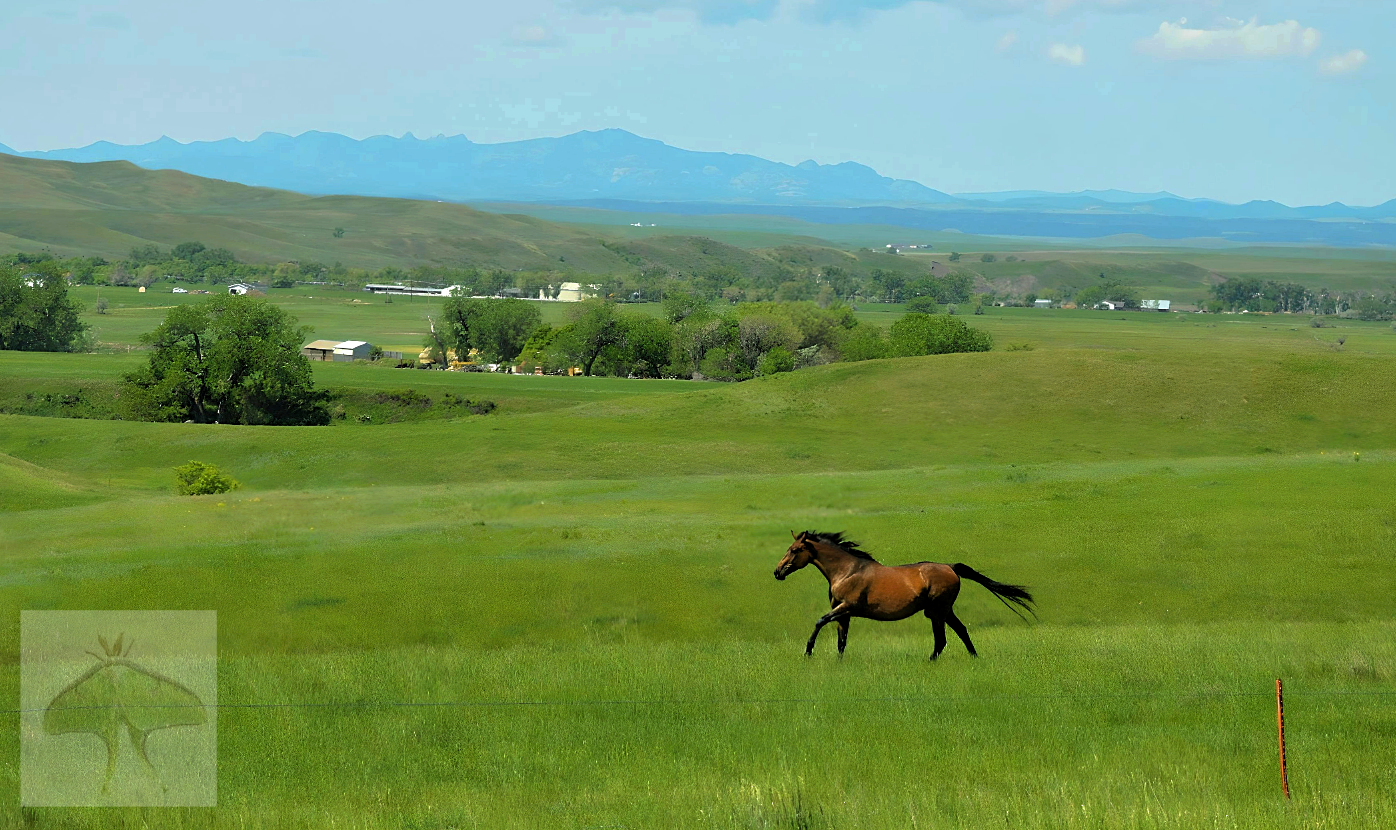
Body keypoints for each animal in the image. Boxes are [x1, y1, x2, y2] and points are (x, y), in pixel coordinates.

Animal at [773, 530, 1035, 659]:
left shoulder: (847, 607)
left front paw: (808, 652)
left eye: (794, 550)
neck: (847, 571)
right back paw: (974, 658)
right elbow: (841, 641)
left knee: (941, 639)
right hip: (944, 610)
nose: (777, 572)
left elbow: (819, 621)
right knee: (960, 631)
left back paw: (931, 661)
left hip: (936, 611)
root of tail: (951, 567)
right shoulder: (843, 613)